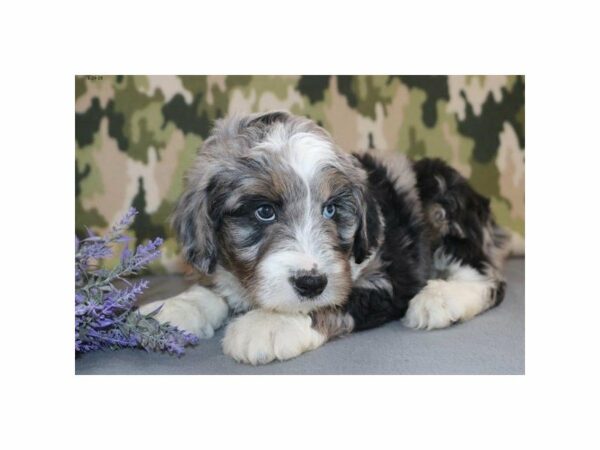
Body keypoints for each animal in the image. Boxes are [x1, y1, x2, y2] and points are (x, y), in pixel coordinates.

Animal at [139, 110, 520, 364]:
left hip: (443, 199)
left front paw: (269, 323)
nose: (311, 282)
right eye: (264, 211)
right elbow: (216, 287)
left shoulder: (389, 277)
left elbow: (334, 301)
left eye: (332, 210)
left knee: (488, 275)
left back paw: (442, 298)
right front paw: (174, 307)